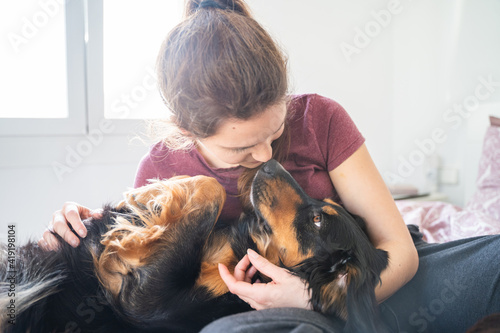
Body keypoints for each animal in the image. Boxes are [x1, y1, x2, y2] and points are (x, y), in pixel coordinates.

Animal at [0, 160, 388, 330]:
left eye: (318, 220)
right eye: (323, 202)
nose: (269, 162)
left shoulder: (143, 302)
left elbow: (211, 191)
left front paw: (138, 224)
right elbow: (210, 191)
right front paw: (150, 201)